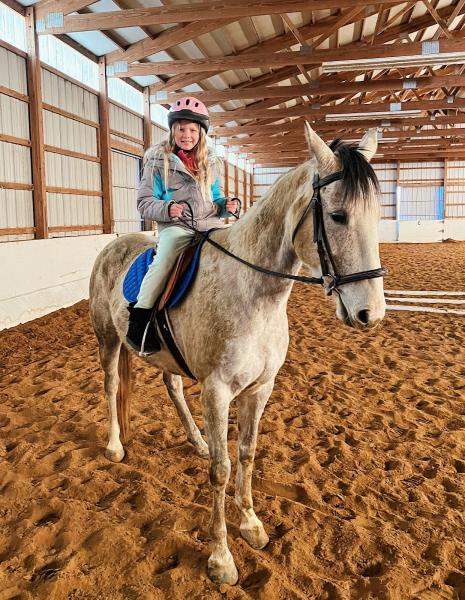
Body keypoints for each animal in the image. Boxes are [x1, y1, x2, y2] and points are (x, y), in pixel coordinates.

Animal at [89, 123, 384, 584]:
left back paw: (196, 440)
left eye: (377, 215)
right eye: (338, 216)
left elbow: (246, 453)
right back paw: (116, 446)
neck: (254, 293)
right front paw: (221, 558)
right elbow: (222, 469)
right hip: (108, 339)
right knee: (111, 384)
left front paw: (251, 524)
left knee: (172, 385)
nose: (370, 313)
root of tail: (112, 247)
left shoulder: (260, 388)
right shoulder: (217, 392)